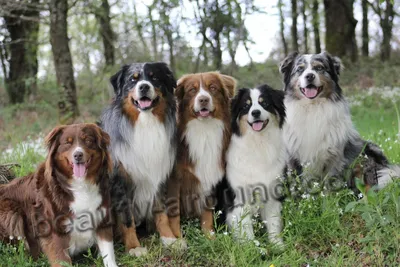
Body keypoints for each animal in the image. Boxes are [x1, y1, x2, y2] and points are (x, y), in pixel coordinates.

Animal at [0, 124, 117, 266]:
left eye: (88, 140)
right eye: (67, 142)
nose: (78, 155)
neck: (80, 185)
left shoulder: (102, 217)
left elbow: (109, 253)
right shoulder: (53, 232)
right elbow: (62, 260)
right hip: (11, 213)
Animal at [166, 72, 236, 240]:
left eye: (213, 88)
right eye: (192, 90)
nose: (203, 99)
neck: (204, 130)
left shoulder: (209, 175)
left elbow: (207, 213)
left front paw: (209, 237)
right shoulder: (174, 179)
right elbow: (174, 212)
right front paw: (178, 239)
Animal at [223, 85, 286, 246]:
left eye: (264, 103)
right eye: (246, 106)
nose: (255, 112)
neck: (258, 143)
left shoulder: (271, 193)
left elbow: (273, 222)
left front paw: (277, 245)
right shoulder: (239, 200)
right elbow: (246, 228)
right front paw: (252, 247)